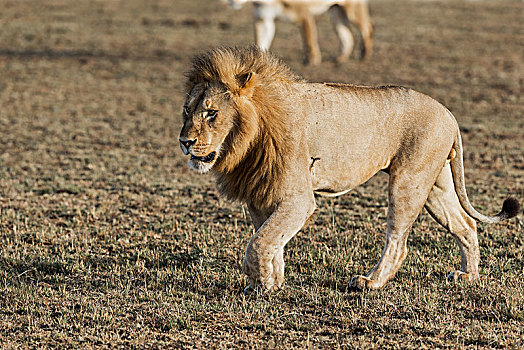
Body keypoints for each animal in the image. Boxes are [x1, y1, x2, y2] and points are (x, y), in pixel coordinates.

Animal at [180, 47, 520, 292]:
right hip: (436, 184)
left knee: (398, 241)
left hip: (408, 180)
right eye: (186, 110)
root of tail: (449, 114)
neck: (249, 136)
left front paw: (261, 285)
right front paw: (271, 282)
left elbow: (259, 242)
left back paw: (370, 282)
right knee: (466, 224)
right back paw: (468, 276)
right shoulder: (260, 194)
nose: (185, 141)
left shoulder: (298, 198)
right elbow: (269, 240)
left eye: (211, 113)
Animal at [226, 0, 372, 65]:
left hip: (352, 10)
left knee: (367, 28)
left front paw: (313, 61)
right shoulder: (263, 19)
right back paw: (341, 58)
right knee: (347, 35)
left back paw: (364, 55)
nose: (231, 1)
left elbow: (309, 41)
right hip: (336, 12)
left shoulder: (304, 15)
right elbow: (261, 42)